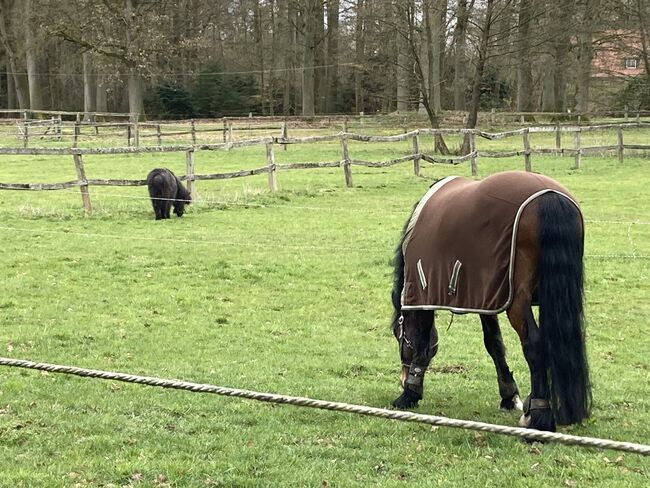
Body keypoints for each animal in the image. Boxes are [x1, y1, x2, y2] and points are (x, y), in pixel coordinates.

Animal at [388, 171, 588, 430]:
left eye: (398, 333)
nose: (402, 379)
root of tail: (549, 197)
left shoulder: (424, 293)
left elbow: (423, 340)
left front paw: (409, 394)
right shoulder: (487, 297)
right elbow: (494, 343)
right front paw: (509, 395)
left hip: (518, 302)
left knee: (534, 345)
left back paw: (539, 416)